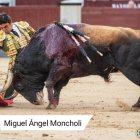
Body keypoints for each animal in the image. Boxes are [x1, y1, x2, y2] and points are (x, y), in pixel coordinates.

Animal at [12, 23, 140, 109]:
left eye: (19, 86)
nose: (36, 101)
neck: (44, 45)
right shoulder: (66, 72)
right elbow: (57, 87)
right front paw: (54, 103)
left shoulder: (59, 67)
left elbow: (49, 83)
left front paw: (50, 105)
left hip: (130, 69)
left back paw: (136, 106)